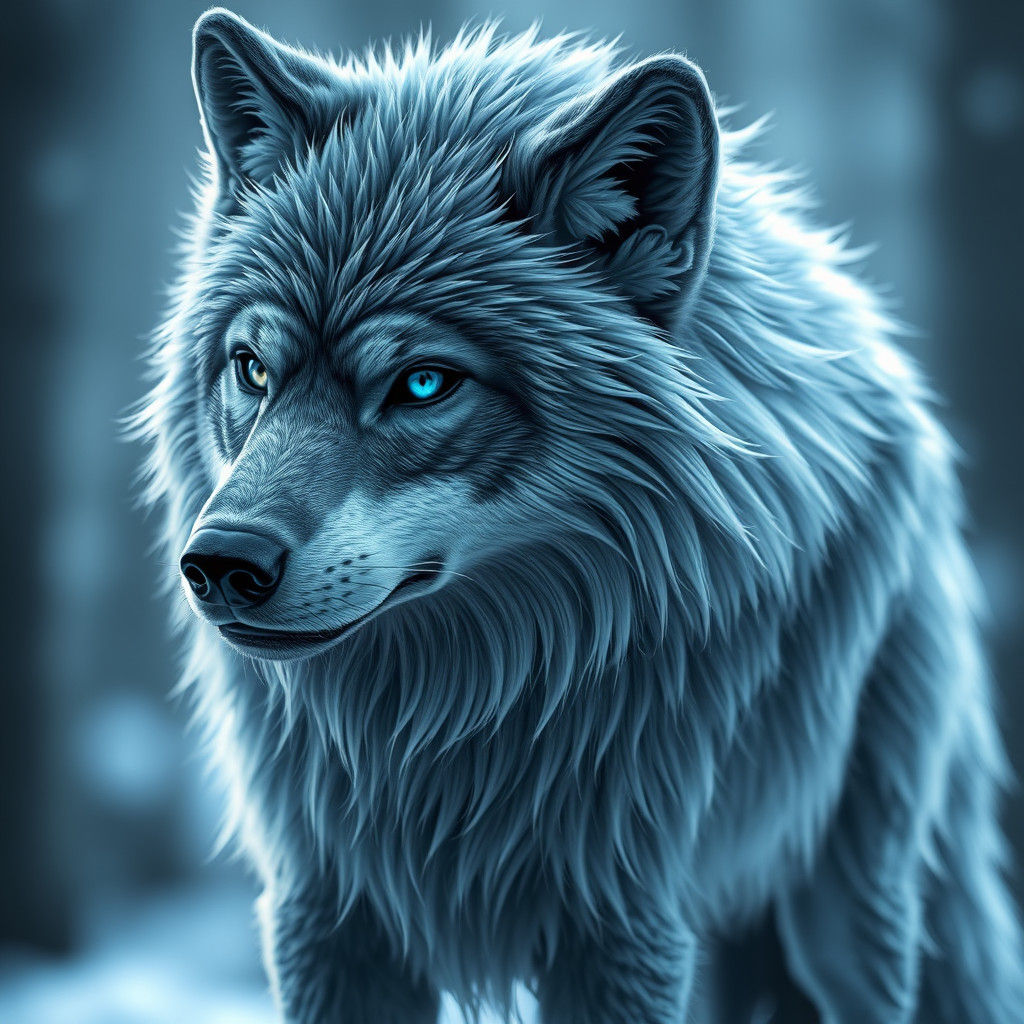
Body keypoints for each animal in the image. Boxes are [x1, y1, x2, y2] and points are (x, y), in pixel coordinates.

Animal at [136, 8, 1024, 1023]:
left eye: (423, 384)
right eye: (252, 369)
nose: (221, 562)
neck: (452, 722)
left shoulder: (621, 920)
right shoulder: (328, 910)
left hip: (847, 900)